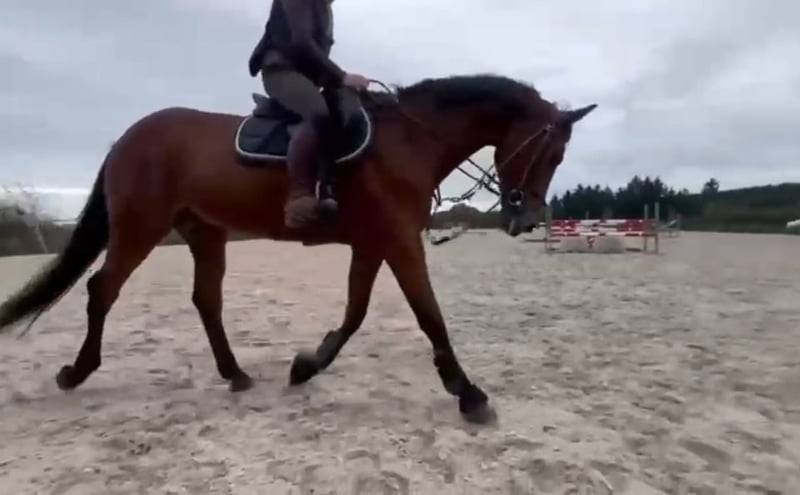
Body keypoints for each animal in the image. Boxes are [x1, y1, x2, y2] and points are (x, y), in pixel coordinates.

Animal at [0, 74, 596, 423]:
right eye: (550, 152)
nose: (526, 218)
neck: (407, 140)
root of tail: (128, 136)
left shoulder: (374, 243)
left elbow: (355, 313)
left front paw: (308, 365)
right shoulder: (400, 242)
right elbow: (429, 315)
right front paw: (469, 394)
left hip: (205, 235)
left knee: (205, 301)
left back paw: (236, 375)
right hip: (140, 228)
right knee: (102, 289)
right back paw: (76, 372)